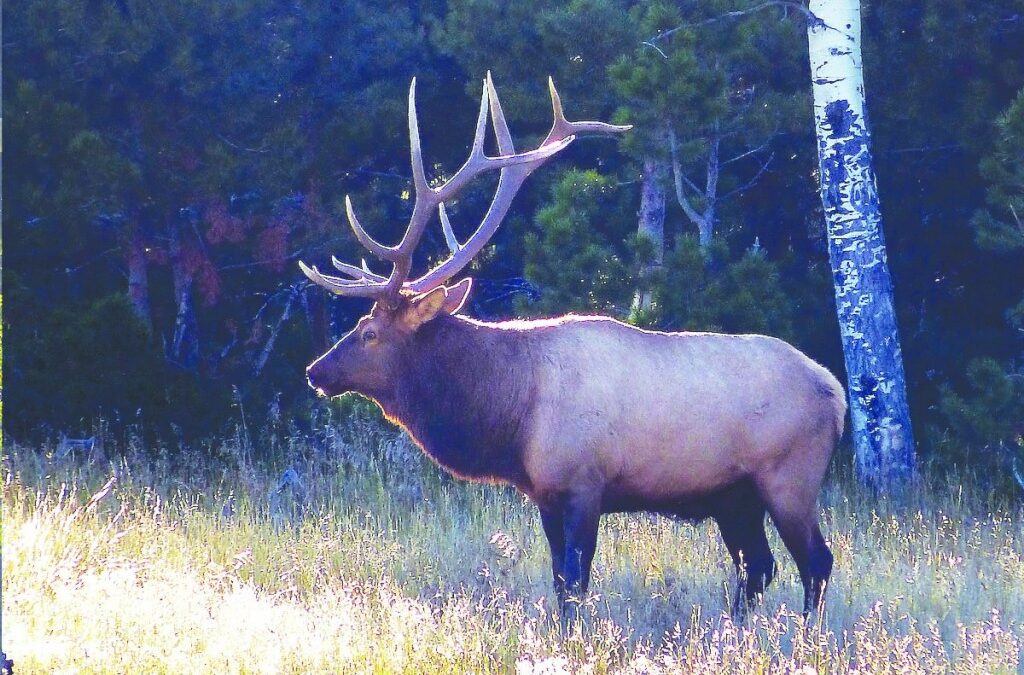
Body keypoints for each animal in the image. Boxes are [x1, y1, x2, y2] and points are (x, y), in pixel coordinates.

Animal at [299, 75, 843, 622]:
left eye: (369, 332)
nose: (315, 371)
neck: (513, 413)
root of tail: (835, 392)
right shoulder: (545, 493)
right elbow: (561, 581)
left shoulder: (584, 483)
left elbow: (577, 580)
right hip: (734, 497)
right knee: (758, 568)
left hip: (789, 477)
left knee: (815, 562)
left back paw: (807, 635)